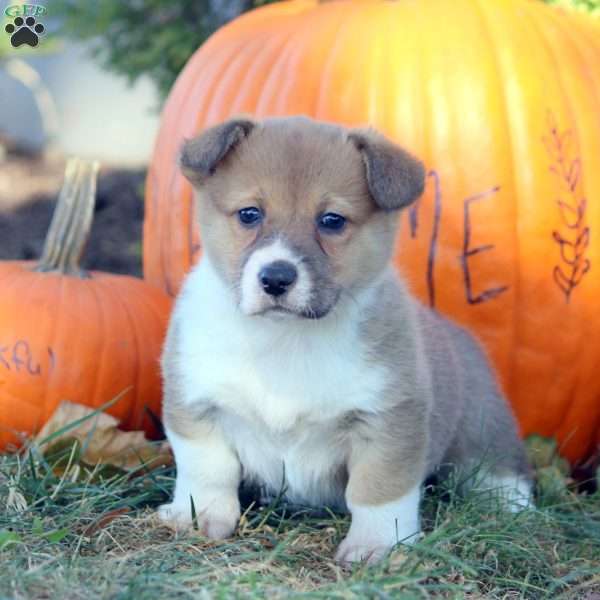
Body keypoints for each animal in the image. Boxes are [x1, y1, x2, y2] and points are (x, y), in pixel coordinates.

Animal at [157, 115, 532, 564]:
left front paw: (377, 545)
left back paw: (511, 507)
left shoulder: (388, 423)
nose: (276, 278)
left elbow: (378, 492)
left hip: (481, 424)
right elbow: (208, 470)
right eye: (249, 214)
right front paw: (199, 516)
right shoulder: (197, 407)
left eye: (332, 220)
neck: (286, 339)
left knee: (499, 466)